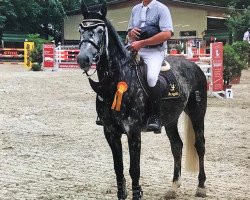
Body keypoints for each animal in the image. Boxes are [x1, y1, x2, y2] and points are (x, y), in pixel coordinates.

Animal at [77, 0, 208, 199]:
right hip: (170, 119)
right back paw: (173, 187)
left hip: (197, 112)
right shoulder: (110, 132)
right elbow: (118, 168)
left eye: (100, 30)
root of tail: (194, 66)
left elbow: (134, 169)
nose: (83, 59)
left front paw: (137, 193)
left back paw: (201, 187)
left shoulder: (133, 131)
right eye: (80, 29)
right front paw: (122, 193)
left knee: (199, 145)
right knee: (177, 146)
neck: (115, 81)